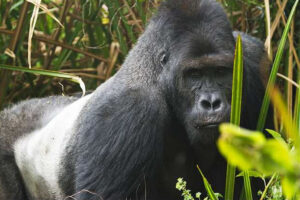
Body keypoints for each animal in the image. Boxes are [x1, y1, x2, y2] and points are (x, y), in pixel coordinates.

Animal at [0, 0, 272, 200]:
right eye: (194, 75)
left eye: (220, 72)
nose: (212, 102)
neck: (157, 76)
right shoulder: (127, 111)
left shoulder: (253, 59)